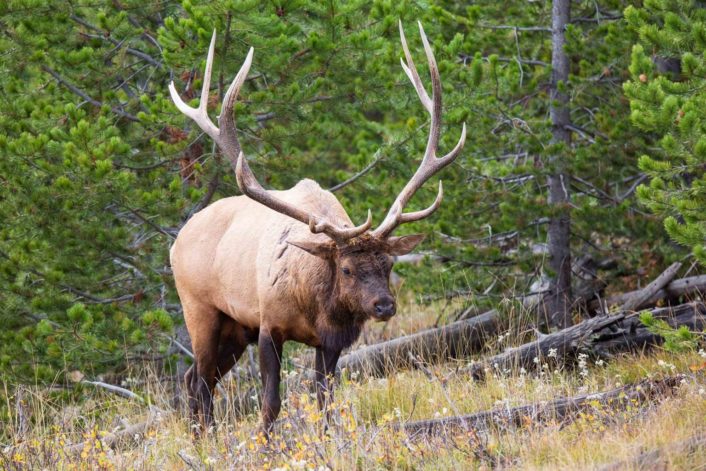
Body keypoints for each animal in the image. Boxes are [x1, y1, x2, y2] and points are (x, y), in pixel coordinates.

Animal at [168, 22, 464, 436]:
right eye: (347, 269)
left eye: (389, 265)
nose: (384, 305)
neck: (315, 306)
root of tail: (177, 240)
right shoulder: (268, 325)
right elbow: (270, 402)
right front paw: (266, 442)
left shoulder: (332, 342)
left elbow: (325, 400)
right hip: (201, 310)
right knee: (198, 380)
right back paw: (206, 438)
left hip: (234, 329)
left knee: (196, 378)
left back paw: (201, 437)